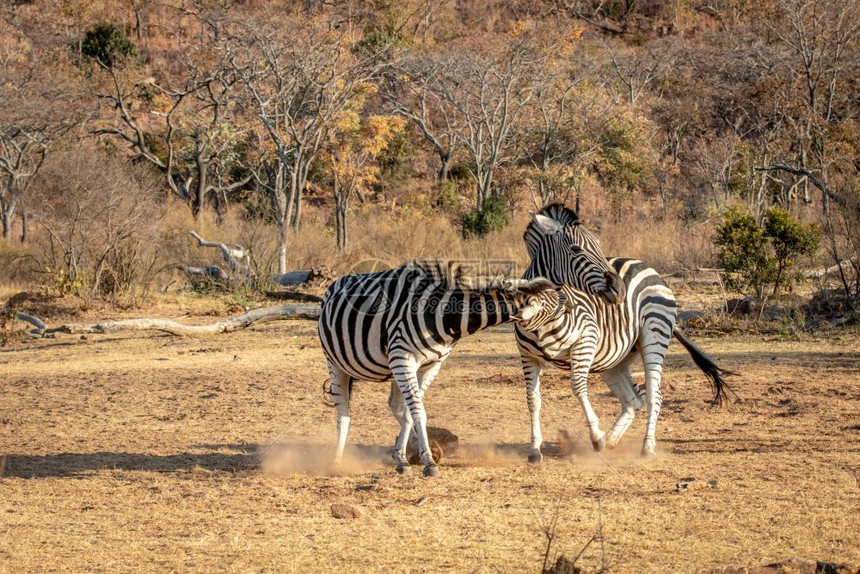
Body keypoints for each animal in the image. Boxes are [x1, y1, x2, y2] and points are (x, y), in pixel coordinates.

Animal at [316, 260, 564, 476]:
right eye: (552, 312)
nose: (561, 344)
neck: (444, 316)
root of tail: (338, 281)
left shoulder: (430, 365)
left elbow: (410, 412)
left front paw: (408, 457)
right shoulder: (403, 358)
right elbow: (418, 411)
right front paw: (429, 461)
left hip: (393, 368)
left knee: (396, 405)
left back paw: (401, 456)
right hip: (336, 363)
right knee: (344, 413)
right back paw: (337, 460)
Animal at [512, 205, 728, 462]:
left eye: (599, 245)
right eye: (576, 249)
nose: (620, 289)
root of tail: (648, 267)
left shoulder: (586, 340)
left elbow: (578, 386)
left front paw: (596, 436)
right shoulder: (528, 357)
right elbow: (533, 399)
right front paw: (535, 449)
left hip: (653, 335)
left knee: (653, 395)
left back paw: (646, 447)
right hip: (613, 358)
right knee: (634, 399)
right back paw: (612, 440)